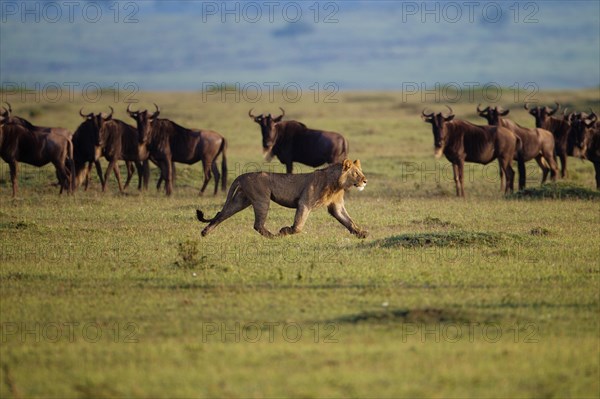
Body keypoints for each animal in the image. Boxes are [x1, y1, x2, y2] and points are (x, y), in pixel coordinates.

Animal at [195, 159, 368, 239]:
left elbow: (348, 221)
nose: (365, 181)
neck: (336, 184)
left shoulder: (336, 206)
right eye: (356, 173)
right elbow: (298, 226)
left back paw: (205, 232)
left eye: (360, 172)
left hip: (241, 201)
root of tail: (243, 175)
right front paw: (285, 230)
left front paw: (361, 233)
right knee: (257, 225)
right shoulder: (304, 203)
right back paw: (274, 236)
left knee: (221, 215)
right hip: (262, 200)